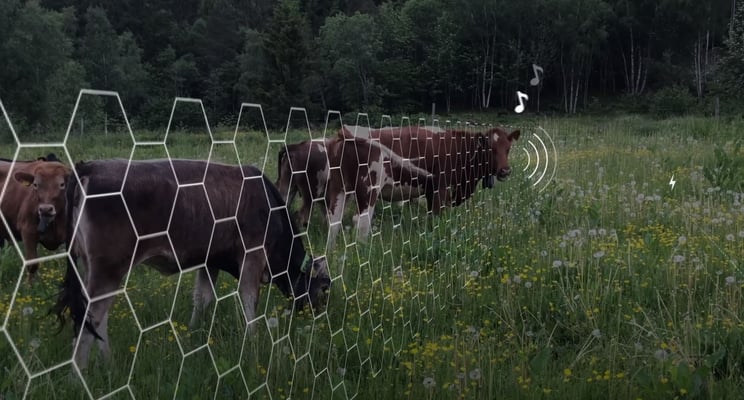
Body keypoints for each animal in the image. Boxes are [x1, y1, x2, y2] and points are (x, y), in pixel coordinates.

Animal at [0, 154, 70, 282]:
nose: (45, 209)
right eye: (35, 185)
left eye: (62, 184)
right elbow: (32, 264)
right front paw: (29, 286)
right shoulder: (28, 231)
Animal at [53, 159, 330, 368]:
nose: (319, 318)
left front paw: (192, 335)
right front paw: (252, 343)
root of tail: (89, 166)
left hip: (93, 270)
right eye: (325, 287)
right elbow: (249, 300)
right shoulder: (252, 255)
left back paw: (108, 364)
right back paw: (78, 379)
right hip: (108, 270)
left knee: (98, 319)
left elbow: (202, 298)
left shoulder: (210, 261)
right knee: (90, 320)